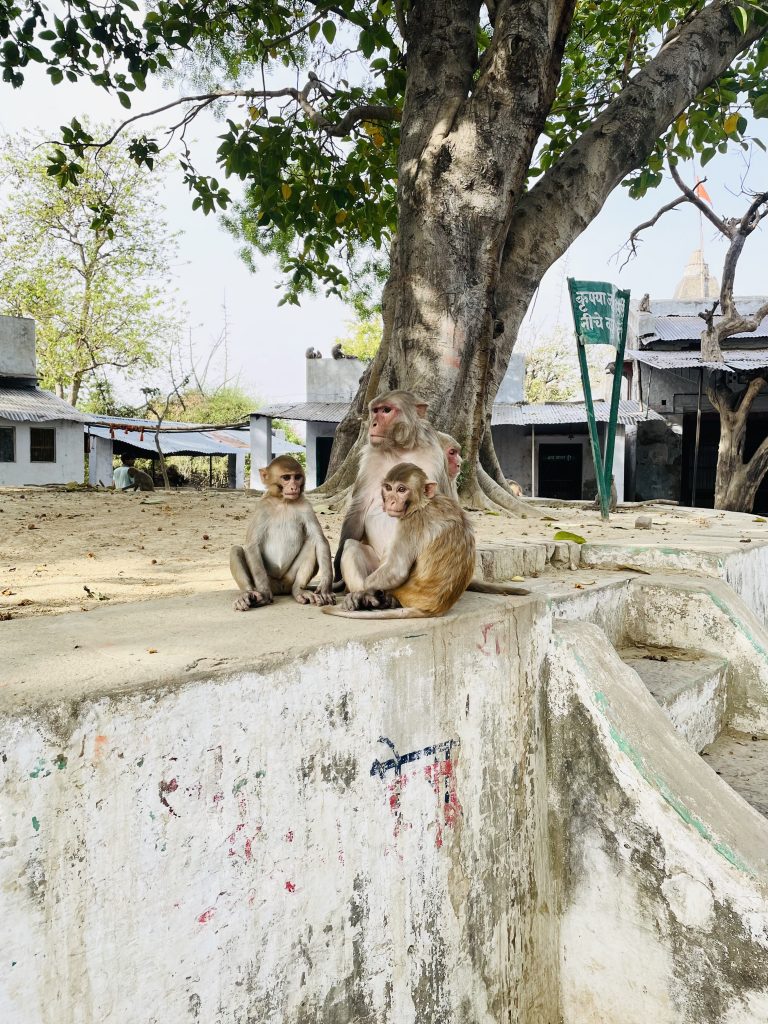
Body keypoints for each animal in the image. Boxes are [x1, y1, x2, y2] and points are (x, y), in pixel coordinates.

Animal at [230, 454, 335, 606]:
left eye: (297, 477)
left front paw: (326, 586)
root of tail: (279, 587)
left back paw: (299, 590)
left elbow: (319, 540)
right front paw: (263, 591)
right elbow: (252, 545)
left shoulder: (306, 507)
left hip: (289, 578)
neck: (283, 502)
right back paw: (247, 593)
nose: (294, 487)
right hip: (270, 579)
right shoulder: (262, 508)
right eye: (286, 478)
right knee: (235, 550)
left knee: (312, 543)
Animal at [323, 462, 528, 618]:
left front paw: (359, 595)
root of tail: (432, 608)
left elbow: (396, 570)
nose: (390, 501)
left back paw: (370, 599)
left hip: (401, 590)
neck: (424, 502)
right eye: (388, 488)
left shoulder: (410, 523)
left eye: (402, 489)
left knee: (353, 546)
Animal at [335, 389, 450, 593]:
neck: (401, 449)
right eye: (375, 410)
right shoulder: (370, 458)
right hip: (376, 565)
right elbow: (359, 508)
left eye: (387, 410)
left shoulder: (435, 456)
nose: (373, 423)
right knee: (352, 547)